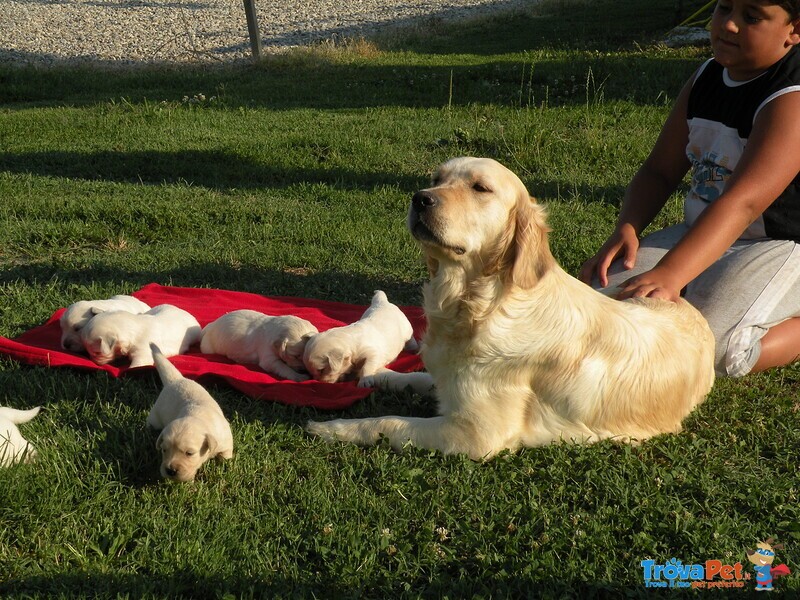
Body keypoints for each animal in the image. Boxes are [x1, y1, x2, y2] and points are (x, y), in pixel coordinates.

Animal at [145, 344, 233, 480]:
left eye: (189, 453)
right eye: (164, 450)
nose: (170, 471)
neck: (198, 416)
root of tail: (175, 380)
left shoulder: (225, 441)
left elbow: (226, 454)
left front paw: (224, 464)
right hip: (156, 416)